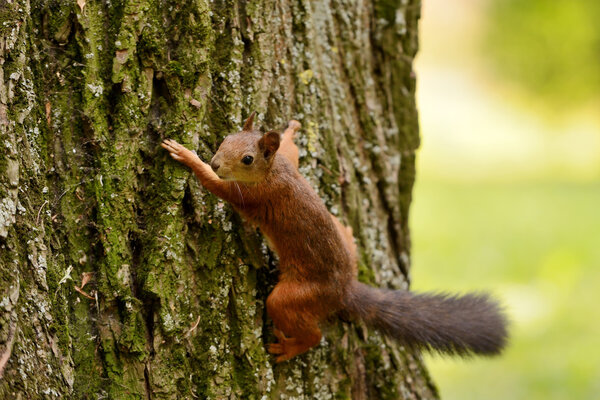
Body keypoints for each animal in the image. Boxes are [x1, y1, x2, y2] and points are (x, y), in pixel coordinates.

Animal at [162, 112, 508, 362]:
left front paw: (187, 157)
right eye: (227, 138)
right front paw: (291, 132)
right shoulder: (287, 164)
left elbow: (215, 185)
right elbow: (292, 152)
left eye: (247, 159)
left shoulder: (253, 196)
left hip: (296, 296)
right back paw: (351, 238)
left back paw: (290, 348)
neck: (273, 171)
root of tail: (344, 291)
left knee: (310, 332)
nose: (217, 162)